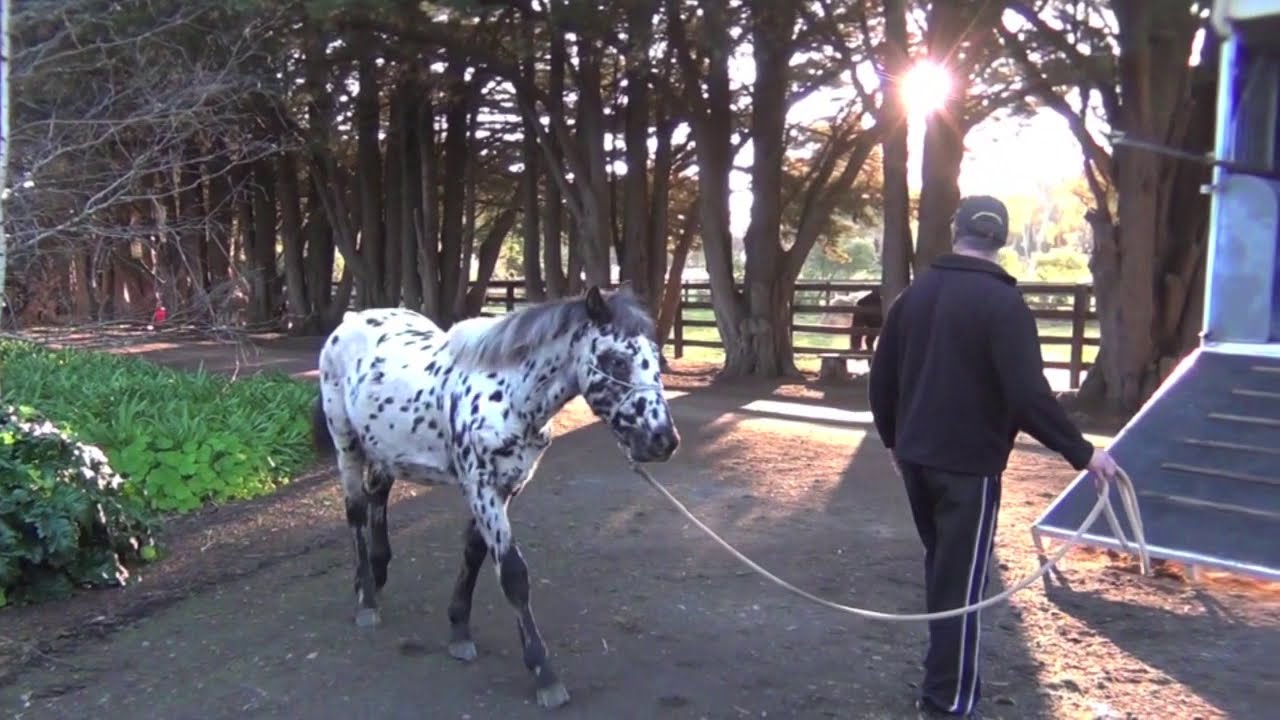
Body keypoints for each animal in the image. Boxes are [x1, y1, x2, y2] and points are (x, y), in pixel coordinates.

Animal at [310, 285, 681, 709]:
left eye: (657, 359)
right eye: (616, 361)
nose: (663, 441)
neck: (507, 396)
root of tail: (350, 320)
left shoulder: (505, 488)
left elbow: (474, 553)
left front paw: (458, 630)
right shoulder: (482, 488)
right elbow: (514, 575)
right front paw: (544, 673)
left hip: (386, 446)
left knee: (378, 495)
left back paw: (376, 572)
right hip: (346, 441)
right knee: (355, 510)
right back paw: (367, 601)